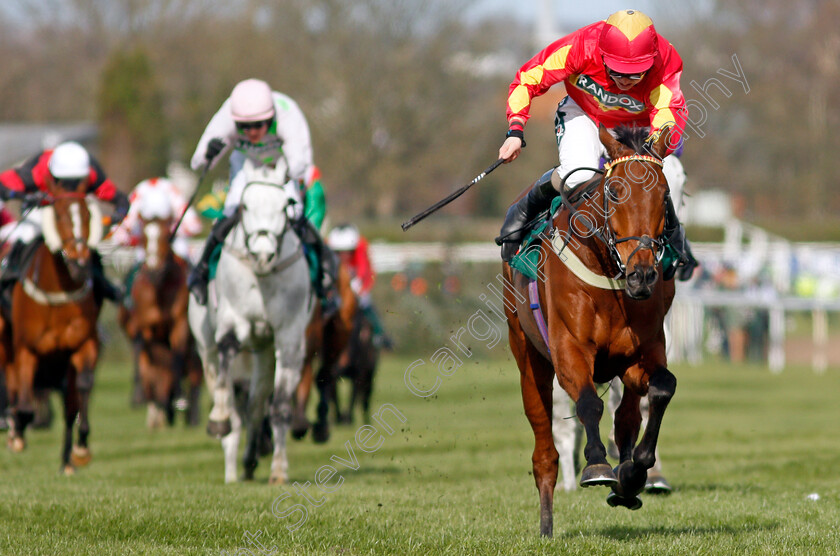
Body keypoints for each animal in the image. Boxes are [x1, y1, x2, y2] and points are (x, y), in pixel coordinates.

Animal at [4, 182, 105, 474]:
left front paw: (81, 449)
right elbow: (25, 406)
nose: (79, 263)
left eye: (87, 215)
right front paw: (17, 432)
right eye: (58, 215)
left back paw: (67, 460)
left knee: (69, 406)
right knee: (13, 387)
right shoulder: (27, 349)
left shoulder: (83, 344)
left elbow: (83, 388)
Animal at [118, 215, 202, 428]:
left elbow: (177, 359)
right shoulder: (142, 326)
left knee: (192, 371)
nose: (154, 271)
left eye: (166, 235)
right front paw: (148, 400)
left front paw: (180, 399)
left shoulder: (180, 324)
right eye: (143, 237)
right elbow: (146, 359)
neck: (159, 290)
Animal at [502, 125, 680, 536]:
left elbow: (661, 389)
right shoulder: (569, 349)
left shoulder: (642, 352)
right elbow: (588, 403)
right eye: (614, 191)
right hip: (527, 357)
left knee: (627, 416)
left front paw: (634, 472)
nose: (643, 274)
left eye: (664, 195)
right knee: (544, 449)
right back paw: (547, 524)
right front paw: (597, 465)